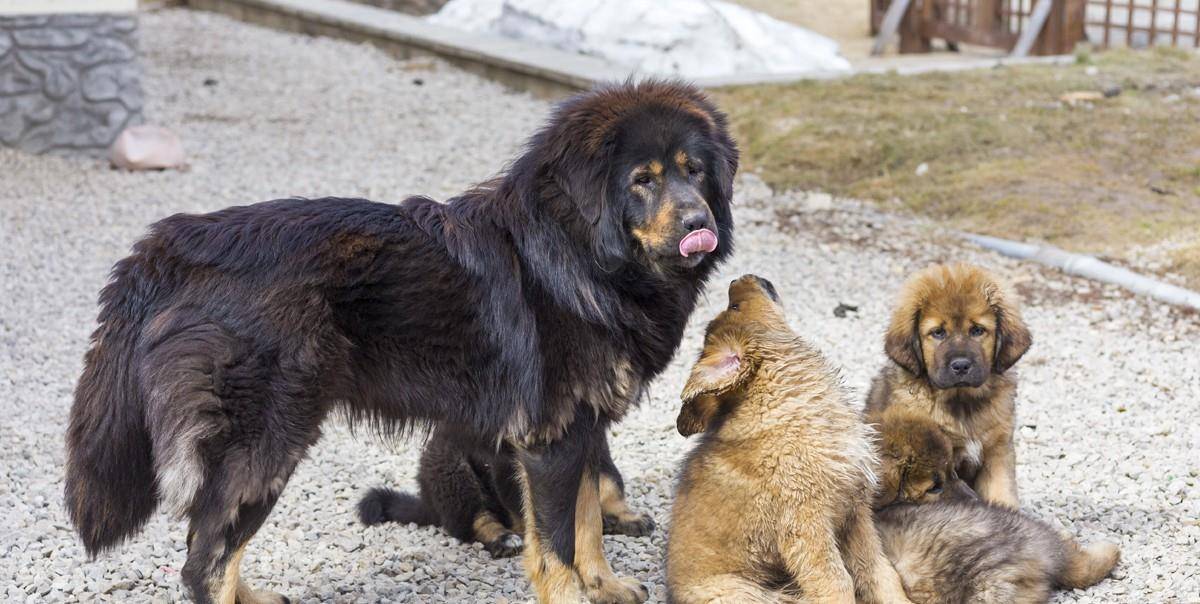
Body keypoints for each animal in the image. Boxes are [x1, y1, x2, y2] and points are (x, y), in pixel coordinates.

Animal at [357, 425, 657, 557]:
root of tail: (429, 500)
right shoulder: (509, 463)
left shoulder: (593, 444)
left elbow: (610, 481)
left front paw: (625, 516)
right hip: (453, 470)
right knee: (475, 520)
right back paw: (503, 539)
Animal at [667, 276, 907, 604]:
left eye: (733, 305)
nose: (736, 278)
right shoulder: (805, 525)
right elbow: (836, 581)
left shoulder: (855, 514)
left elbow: (880, 572)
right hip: (742, 592)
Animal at [864, 264, 1032, 506]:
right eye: (938, 332)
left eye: (978, 330)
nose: (961, 365)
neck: (963, 403)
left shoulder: (997, 451)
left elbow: (1003, 493)